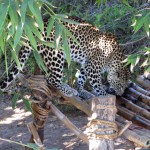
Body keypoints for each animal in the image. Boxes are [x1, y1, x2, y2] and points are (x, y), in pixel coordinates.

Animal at [0, 16, 130, 99]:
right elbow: (97, 84)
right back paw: (68, 91)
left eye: (124, 87)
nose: (120, 94)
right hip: (56, 54)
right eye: (120, 85)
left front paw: (82, 91)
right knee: (52, 79)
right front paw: (104, 94)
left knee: (50, 77)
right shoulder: (93, 68)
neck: (113, 58)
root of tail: (36, 28)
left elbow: (81, 78)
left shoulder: (86, 64)